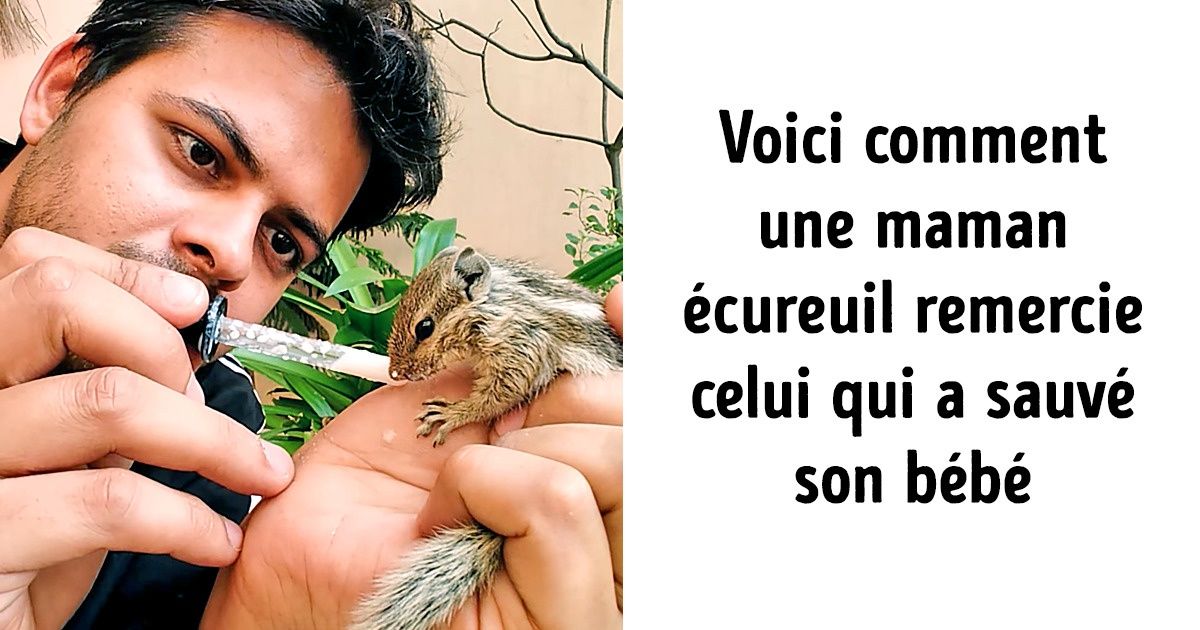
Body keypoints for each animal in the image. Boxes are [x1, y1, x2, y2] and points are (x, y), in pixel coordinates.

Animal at [349, 246, 622, 630]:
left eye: (424, 327)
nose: (395, 372)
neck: (493, 304)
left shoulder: (520, 350)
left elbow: (496, 397)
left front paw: (452, 413)